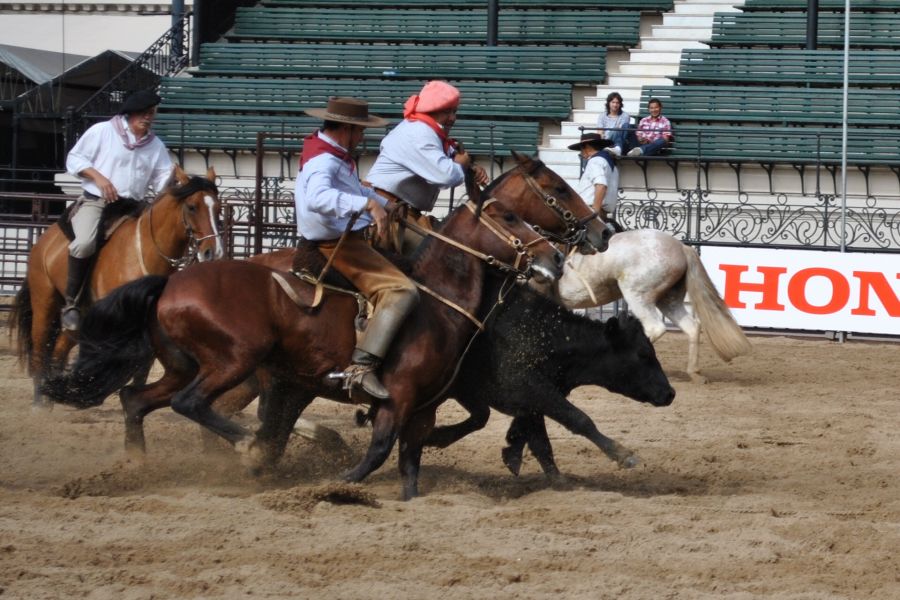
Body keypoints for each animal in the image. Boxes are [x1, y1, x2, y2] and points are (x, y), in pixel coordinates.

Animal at [9, 164, 224, 408]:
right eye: (191, 207)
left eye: (218, 209)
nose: (213, 252)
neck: (144, 252)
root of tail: (44, 242)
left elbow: (142, 368)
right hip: (44, 302)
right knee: (39, 346)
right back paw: (39, 400)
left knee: (58, 349)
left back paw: (52, 396)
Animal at [44, 190, 564, 500]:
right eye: (511, 216)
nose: (555, 257)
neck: (436, 302)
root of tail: (170, 282)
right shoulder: (397, 397)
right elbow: (379, 451)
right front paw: (338, 482)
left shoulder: (424, 406)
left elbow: (410, 464)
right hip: (234, 361)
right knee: (192, 405)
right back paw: (247, 448)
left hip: (184, 366)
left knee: (136, 399)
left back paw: (136, 465)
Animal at [540, 227, 752, 382]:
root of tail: (681, 248)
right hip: (669, 300)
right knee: (692, 327)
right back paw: (695, 372)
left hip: (637, 295)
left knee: (655, 328)